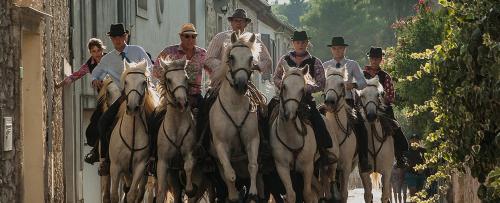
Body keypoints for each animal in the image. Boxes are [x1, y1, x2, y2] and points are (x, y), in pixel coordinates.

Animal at [109, 60, 156, 203]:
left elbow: (131, 195)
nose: (132, 108)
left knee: (139, 192)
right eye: (126, 82)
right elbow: (115, 195)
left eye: (144, 82)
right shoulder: (116, 167)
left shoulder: (140, 167)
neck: (132, 133)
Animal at [155, 57, 198, 203]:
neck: (176, 127)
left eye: (185, 78)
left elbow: (189, 166)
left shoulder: (189, 153)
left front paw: (190, 190)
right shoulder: (163, 162)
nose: (182, 102)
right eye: (169, 80)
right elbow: (161, 191)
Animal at [208, 31, 262, 201]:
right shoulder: (221, 145)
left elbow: (253, 166)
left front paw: (252, 193)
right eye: (231, 57)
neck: (235, 107)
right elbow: (230, 174)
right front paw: (235, 195)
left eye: (251, 58)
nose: (241, 84)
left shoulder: (253, 140)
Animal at [272, 63, 318, 203]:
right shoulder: (282, 167)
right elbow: (291, 194)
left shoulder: (308, 167)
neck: (292, 137)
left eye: (302, 90)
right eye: (284, 86)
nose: (290, 114)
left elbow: (307, 194)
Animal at [322, 67, 358, 203]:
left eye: (342, 84)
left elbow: (343, 194)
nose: (330, 102)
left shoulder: (346, 167)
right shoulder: (326, 167)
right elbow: (327, 194)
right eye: (325, 82)